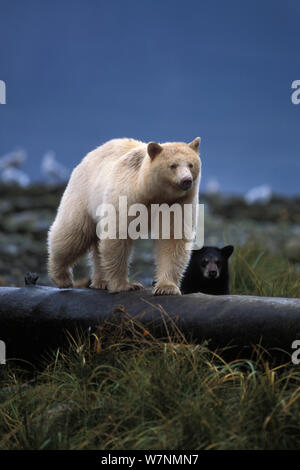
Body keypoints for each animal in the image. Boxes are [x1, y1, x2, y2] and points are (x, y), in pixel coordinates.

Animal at [47, 138, 202, 296]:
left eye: (191, 164)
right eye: (173, 165)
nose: (187, 180)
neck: (152, 192)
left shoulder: (178, 203)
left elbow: (172, 238)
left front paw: (166, 287)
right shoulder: (127, 196)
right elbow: (118, 236)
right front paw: (125, 285)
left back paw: (101, 281)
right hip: (83, 195)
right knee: (72, 233)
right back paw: (62, 277)